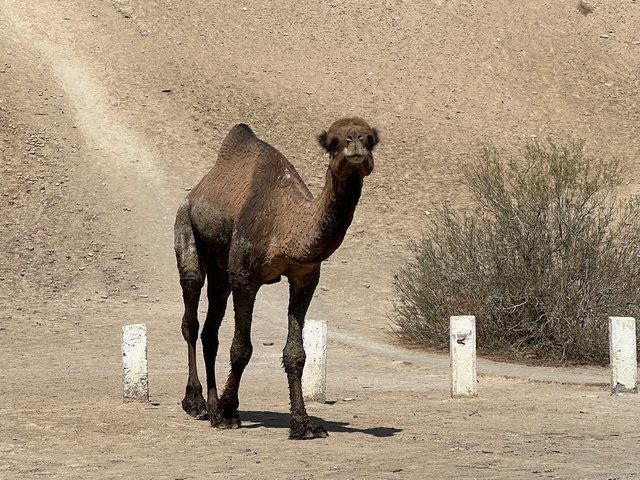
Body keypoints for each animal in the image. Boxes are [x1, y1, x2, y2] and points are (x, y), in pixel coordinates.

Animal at [174, 116, 379, 439]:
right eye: (333, 142)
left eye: (372, 139)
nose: (355, 140)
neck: (286, 225)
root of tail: (194, 192)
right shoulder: (245, 276)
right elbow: (241, 349)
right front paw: (230, 408)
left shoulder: (305, 277)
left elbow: (296, 354)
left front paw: (304, 425)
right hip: (186, 224)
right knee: (191, 313)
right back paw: (198, 404)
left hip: (222, 264)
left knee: (210, 328)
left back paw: (212, 408)